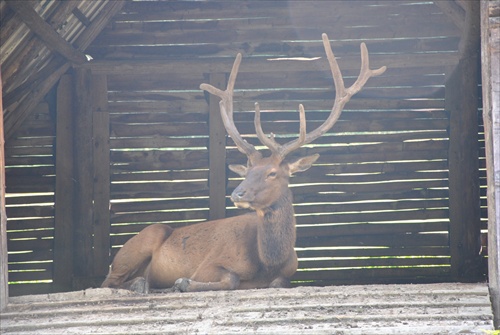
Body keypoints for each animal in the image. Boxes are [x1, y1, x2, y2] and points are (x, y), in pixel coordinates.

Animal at [99, 32, 384, 292]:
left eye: (272, 173)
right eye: (246, 171)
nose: (238, 193)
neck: (268, 262)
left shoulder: (289, 273)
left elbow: (279, 282)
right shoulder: (209, 264)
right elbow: (231, 279)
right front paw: (182, 282)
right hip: (142, 240)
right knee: (107, 281)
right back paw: (141, 284)